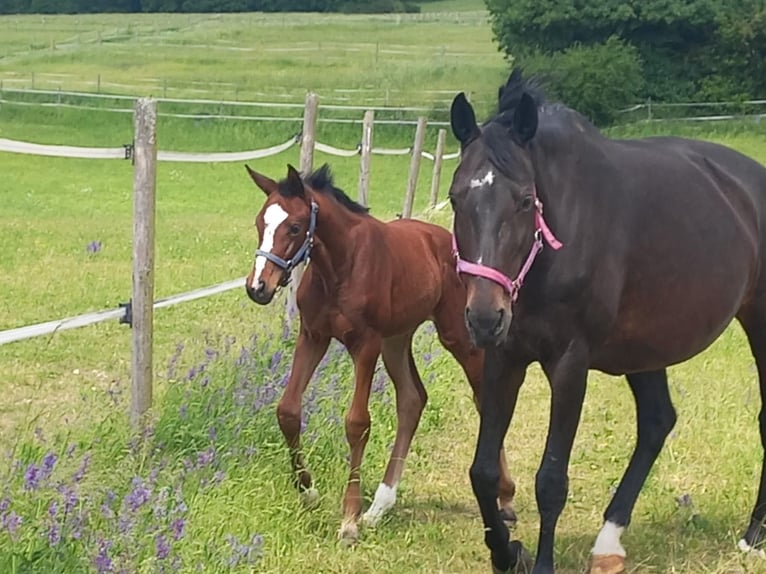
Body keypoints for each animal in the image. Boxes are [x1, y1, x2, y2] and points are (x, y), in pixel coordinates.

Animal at [242, 163, 516, 544]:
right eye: (259, 223)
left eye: (294, 227)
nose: (258, 287)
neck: (340, 266)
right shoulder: (312, 336)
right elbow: (288, 411)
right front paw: (308, 491)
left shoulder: (365, 344)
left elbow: (357, 424)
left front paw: (349, 520)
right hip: (396, 340)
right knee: (413, 399)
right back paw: (380, 506)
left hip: (457, 337)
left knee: (482, 399)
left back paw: (504, 497)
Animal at [450, 68, 766, 574]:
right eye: (455, 197)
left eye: (525, 201)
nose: (484, 316)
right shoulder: (505, 356)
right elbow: (483, 470)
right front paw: (507, 552)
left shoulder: (569, 364)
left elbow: (551, 480)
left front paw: (539, 562)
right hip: (646, 347)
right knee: (657, 421)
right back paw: (608, 542)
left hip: (758, 319)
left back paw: (754, 534)